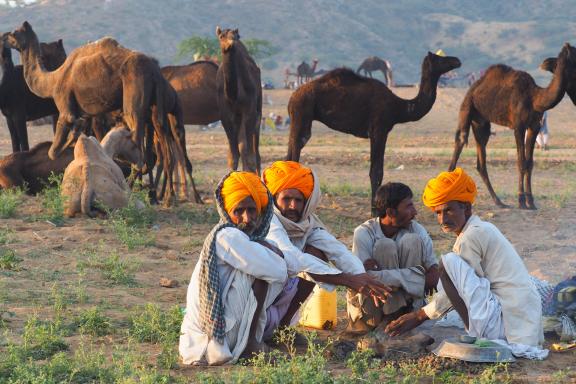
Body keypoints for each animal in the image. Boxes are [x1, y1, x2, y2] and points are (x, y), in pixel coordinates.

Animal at [215, 27, 262, 175]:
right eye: (221, 36)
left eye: (236, 36)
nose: (231, 43)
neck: (235, 96)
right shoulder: (226, 116)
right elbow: (234, 154)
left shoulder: (249, 111)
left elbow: (248, 152)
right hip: (238, 118)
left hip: (258, 113)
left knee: (255, 151)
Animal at [288, 51, 464, 213]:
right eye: (440, 59)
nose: (457, 60)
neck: (399, 107)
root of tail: (293, 96)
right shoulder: (379, 129)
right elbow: (377, 171)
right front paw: (376, 210)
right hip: (302, 111)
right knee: (297, 148)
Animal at [450, 44, 576, 210]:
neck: (534, 98)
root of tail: (475, 86)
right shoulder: (518, 126)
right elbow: (521, 162)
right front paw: (521, 201)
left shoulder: (534, 126)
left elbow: (530, 163)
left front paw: (531, 202)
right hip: (466, 107)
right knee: (461, 139)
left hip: (481, 122)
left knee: (481, 160)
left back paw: (499, 202)